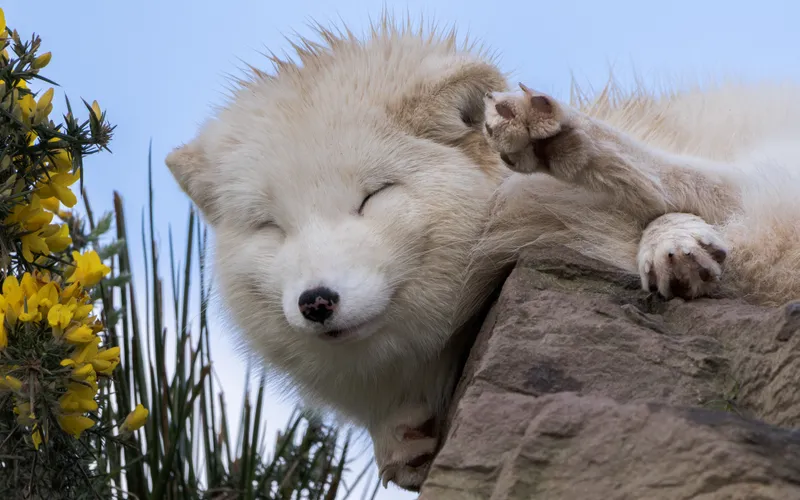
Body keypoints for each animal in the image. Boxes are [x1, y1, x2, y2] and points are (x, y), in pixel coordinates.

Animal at [165, 17, 800, 492]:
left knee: (717, 189)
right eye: (272, 228)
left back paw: (559, 141)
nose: (317, 302)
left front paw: (669, 237)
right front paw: (396, 436)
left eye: (374, 196)